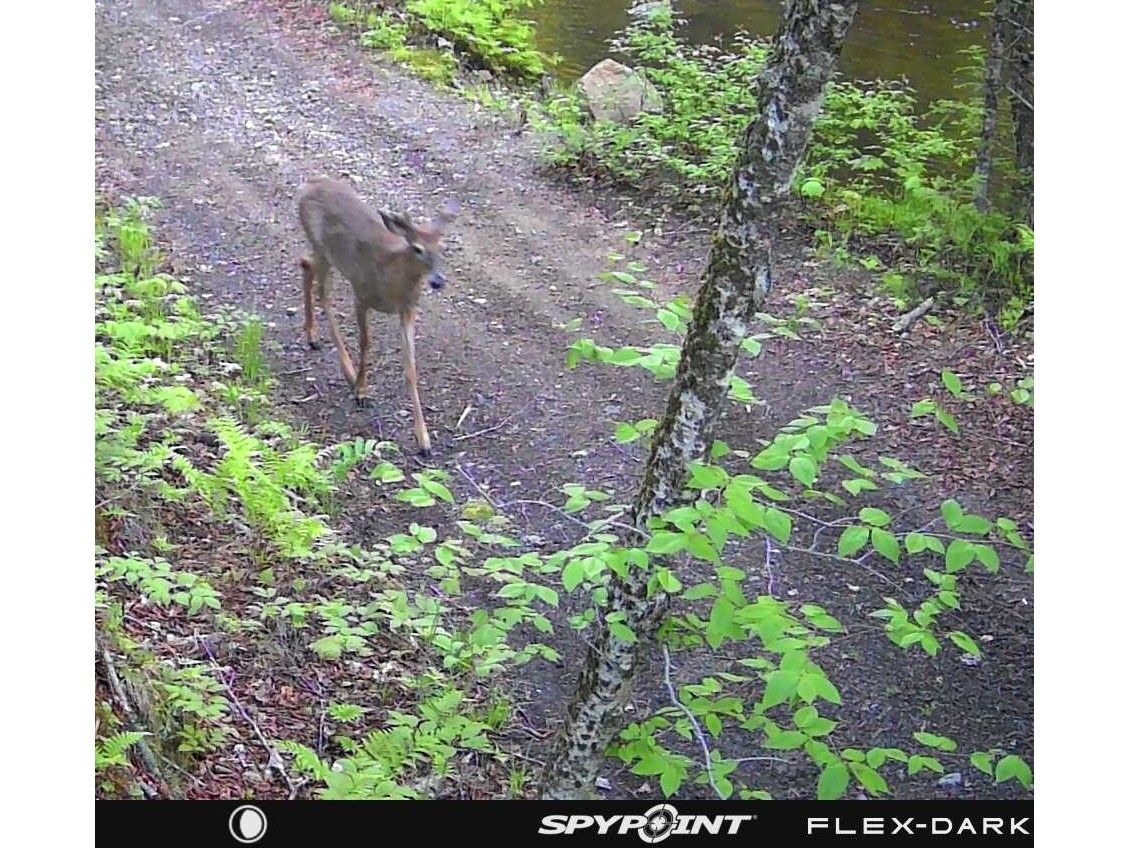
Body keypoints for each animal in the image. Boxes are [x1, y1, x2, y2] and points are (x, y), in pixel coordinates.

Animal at [297, 177, 458, 457]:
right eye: (417, 248)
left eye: (442, 248)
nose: (438, 281)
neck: (393, 280)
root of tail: (309, 185)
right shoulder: (361, 296)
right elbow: (365, 343)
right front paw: (361, 391)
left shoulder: (408, 311)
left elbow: (410, 368)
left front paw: (424, 440)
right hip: (323, 247)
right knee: (321, 290)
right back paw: (346, 368)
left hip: (323, 252)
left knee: (306, 264)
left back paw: (313, 336)